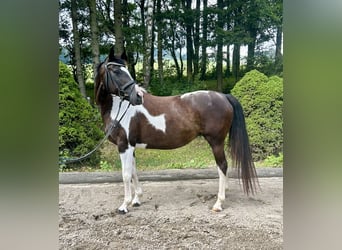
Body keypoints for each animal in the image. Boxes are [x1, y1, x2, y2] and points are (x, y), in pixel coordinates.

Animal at [95, 47, 258, 214]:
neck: (119, 109)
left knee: (222, 166)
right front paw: (136, 200)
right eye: (115, 70)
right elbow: (134, 171)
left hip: (216, 142)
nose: (138, 96)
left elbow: (126, 174)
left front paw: (124, 205)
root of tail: (223, 96)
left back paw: (218, 203)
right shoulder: (131, 146)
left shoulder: (124, 145)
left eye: (125, 70)